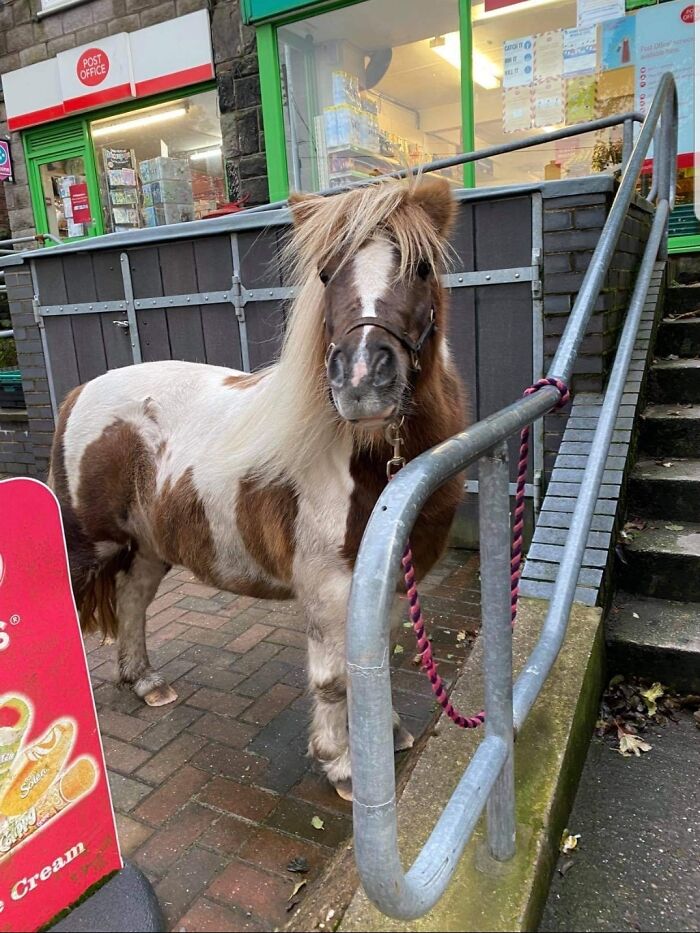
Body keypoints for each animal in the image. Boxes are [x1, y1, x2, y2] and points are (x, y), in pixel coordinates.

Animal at [48, 175, 467, 799]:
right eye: (325, 274)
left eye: (419, 268)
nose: (362, 380)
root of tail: (81, 392)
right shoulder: (329, 586)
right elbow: (336, 679)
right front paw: (343, 767)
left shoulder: (389, 579)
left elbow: (374, 663)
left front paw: (385, 734)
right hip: (86, 547)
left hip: (147, 547)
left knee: (132, 600)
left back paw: (145, 681)